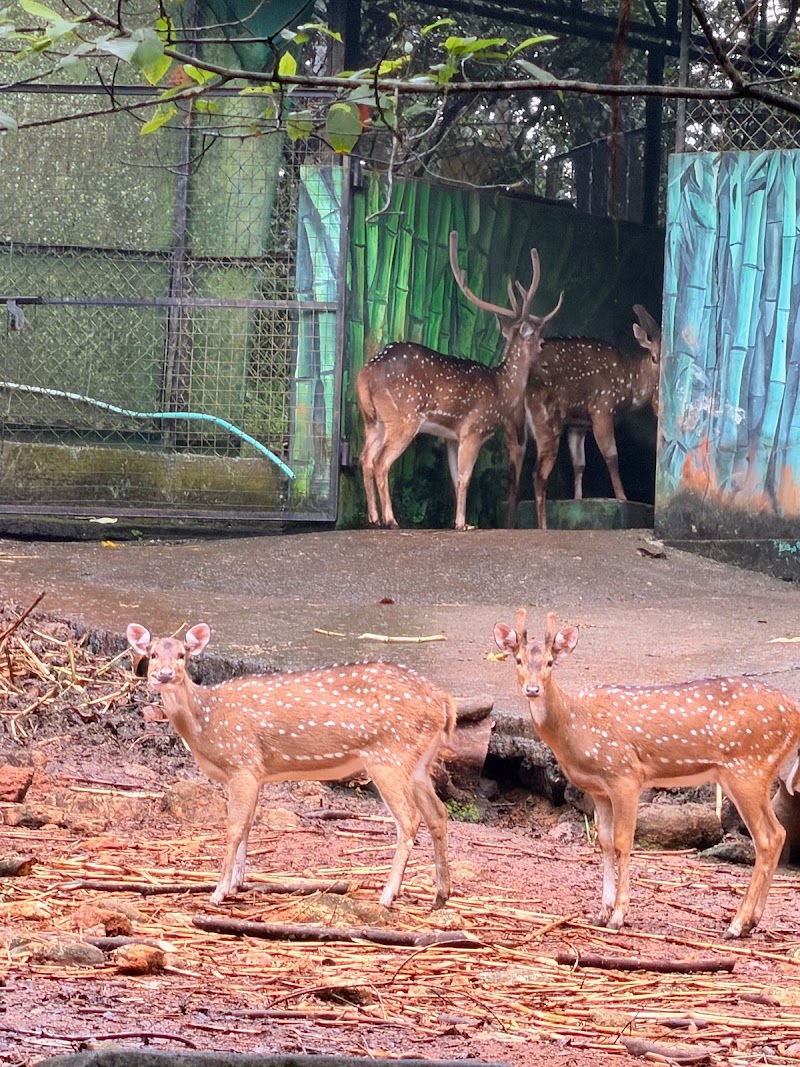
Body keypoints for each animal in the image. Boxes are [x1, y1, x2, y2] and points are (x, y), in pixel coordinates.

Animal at [127, 622, 456, 909]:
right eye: (152, 654)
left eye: (183, 654)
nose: (164, 674)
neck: (206, 721)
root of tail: (443, 700)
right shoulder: (257, 772)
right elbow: (249, 824)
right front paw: (237, 884)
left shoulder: (242, 761)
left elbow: (234, 827)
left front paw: (219, 891)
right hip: (418, 764)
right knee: (438, 814)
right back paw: (440, 895)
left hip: (389, 755)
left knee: (409, 819)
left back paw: (388, 895)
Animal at [357, 230, 562, 531]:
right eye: (541, 341)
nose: (547, 364)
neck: (502, 390)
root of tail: (365, 373)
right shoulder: (474, 429)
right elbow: (466, 478)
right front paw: (464, 524)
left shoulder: (452, 437)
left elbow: (455, 479)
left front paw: (460, 521)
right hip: (403, 417)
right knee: (382, 462)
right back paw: (391, 520)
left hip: (372, 421)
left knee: (365, 459)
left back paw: (373, 517)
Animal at [494, 609, 800, 939]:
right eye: (518, 660)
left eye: (551, 662)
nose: (532, 689)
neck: (576, 726)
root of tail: (795, 712)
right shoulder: (598, 789)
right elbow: (603, 841)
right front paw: (601, 912)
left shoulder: (625, 774)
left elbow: (623, 842)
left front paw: (618, 916)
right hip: (755, 773)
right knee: (778, 833)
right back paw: (752, 921)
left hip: (746, 768)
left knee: (766, 838)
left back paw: (736, 924)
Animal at [524, 305, 661, 529]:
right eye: (654, 358)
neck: (629, 388)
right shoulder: (602, 408)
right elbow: (611, 454)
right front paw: (622, 497)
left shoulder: (577, 424)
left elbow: (579, 464)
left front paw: (578, 499)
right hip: (545, 419)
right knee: (538, 472)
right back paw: (542, 525)